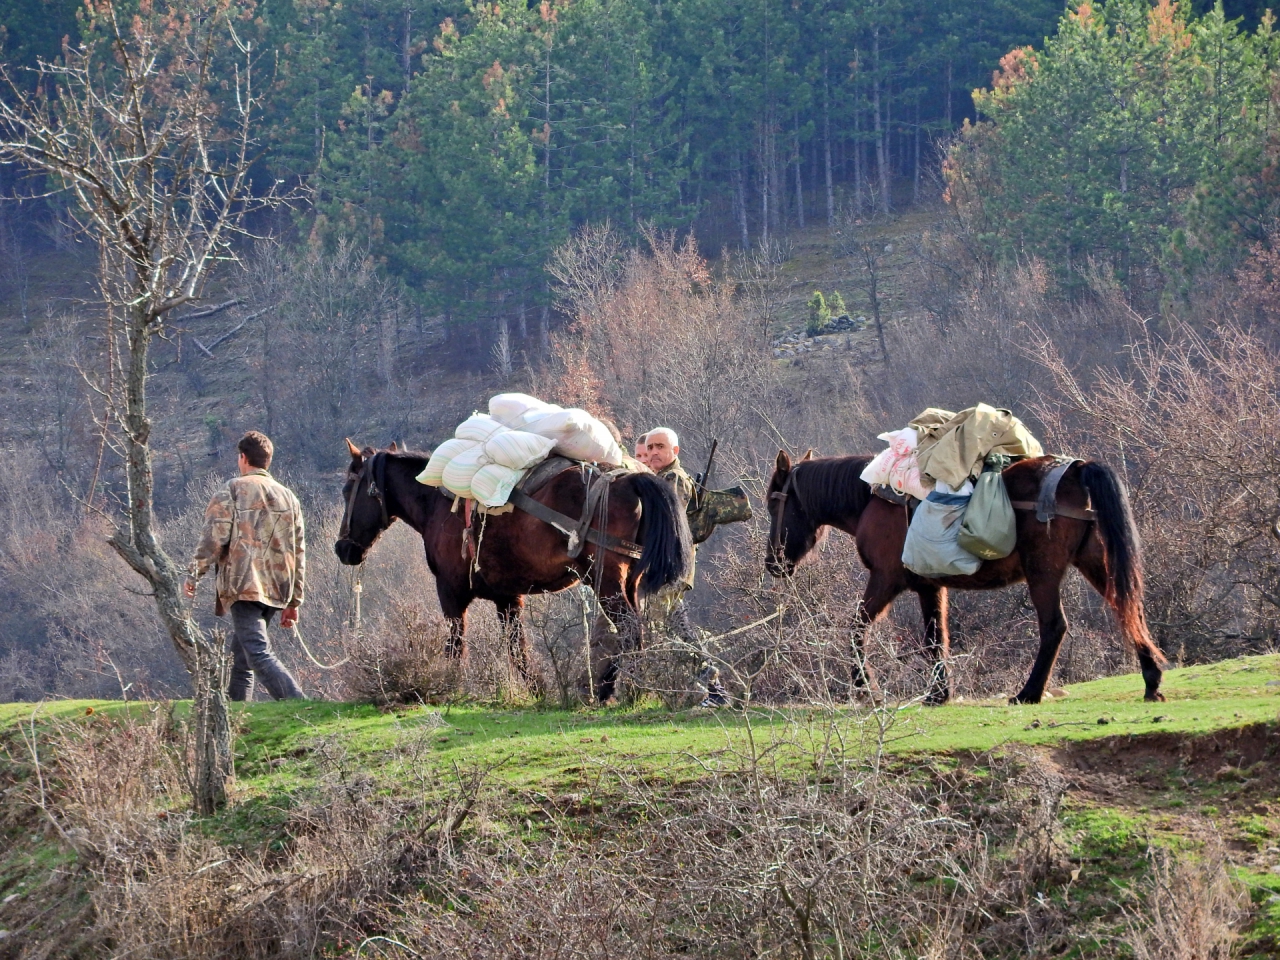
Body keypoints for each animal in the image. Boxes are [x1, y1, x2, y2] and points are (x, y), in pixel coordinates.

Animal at [330, 442, 691, 701]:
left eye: (348, 491)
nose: (343, 549)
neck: (438, 503)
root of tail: (628, 479)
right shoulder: (508, 599)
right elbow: (519, 650)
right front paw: (537, 691)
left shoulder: (450, 592)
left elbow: (455, 644)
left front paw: (449, 686)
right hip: (628, 580)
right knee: (637, 628)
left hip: (605, 580)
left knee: (628, 628)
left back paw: (617, 689)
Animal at [762, 450, 1167, 706]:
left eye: (772, 504)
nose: (773, 563)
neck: (873, 498)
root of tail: (1076, 468)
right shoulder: (928, 586)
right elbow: (935, 640)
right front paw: (938, 694)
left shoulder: (885, 579)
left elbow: (857, 628)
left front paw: (866, 688)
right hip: (1097, 563)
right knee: (1128, 609)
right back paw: (1151, 678)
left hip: (1043, 573)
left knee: (1054, 626)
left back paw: (1029, 693)